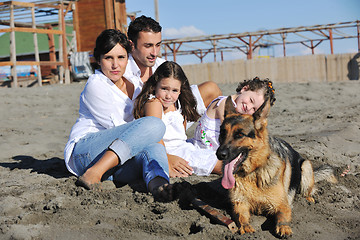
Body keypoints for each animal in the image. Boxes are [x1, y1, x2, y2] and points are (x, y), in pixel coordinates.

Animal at [215, 96, 336, 238]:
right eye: (222, 133)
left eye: (239, 135)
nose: (219, 154)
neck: (253, 172)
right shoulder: (240, 203)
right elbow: (241, 217)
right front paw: (245, 227)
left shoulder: (282, 205)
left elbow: (283, 217)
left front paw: (284, 228)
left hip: (306, 166)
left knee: (309, 190)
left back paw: (308, 199)